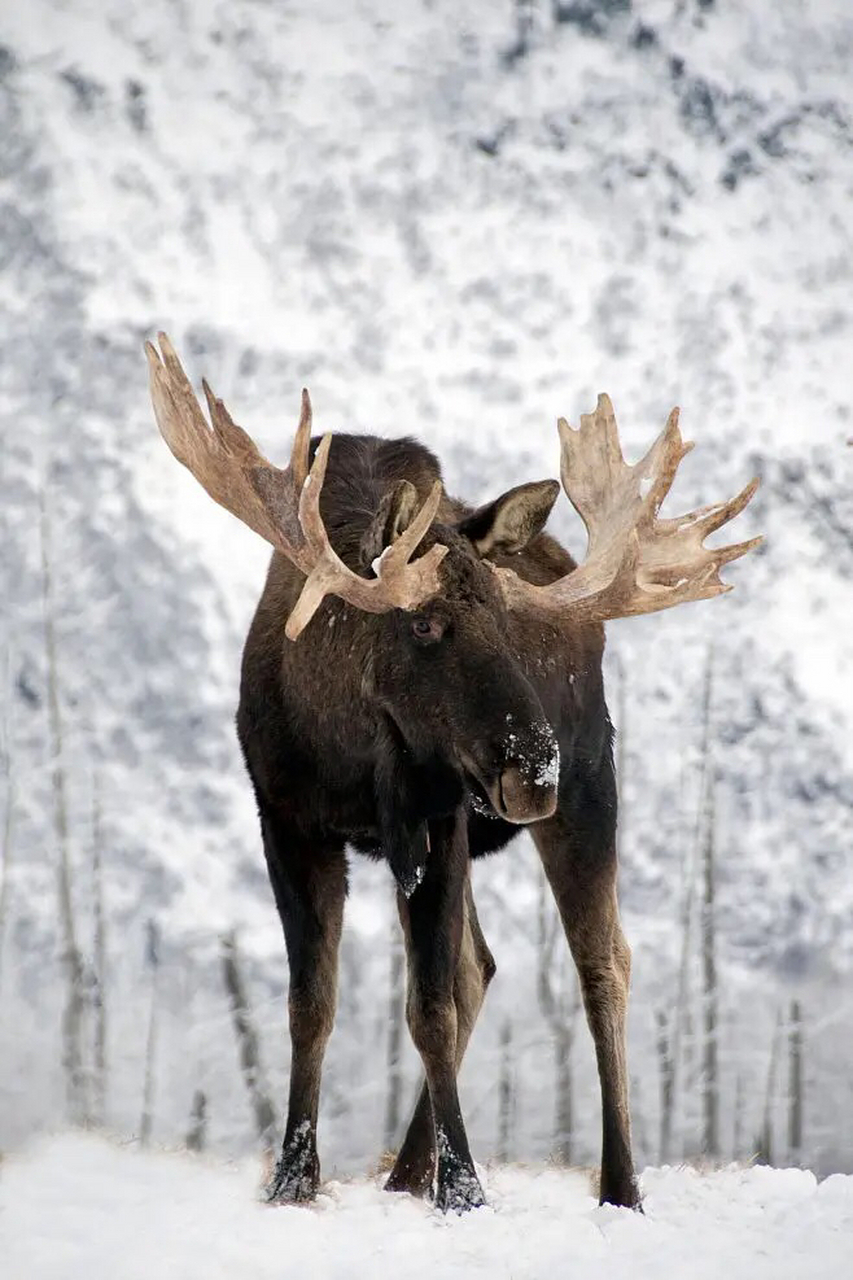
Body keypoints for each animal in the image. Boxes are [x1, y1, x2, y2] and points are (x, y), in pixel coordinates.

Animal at [146, 330, 758, 1208]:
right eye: (425, 623)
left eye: (505, 617)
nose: (535, 766)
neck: (351, 751)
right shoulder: (288, 819)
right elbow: (311, 1003)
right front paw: (294, 1178)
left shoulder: (436, 820)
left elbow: (428, 1007)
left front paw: (463, 1187)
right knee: (483, 966)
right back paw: (405, 1173)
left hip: (589, 790)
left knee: (600, 962)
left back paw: (619, 1184)